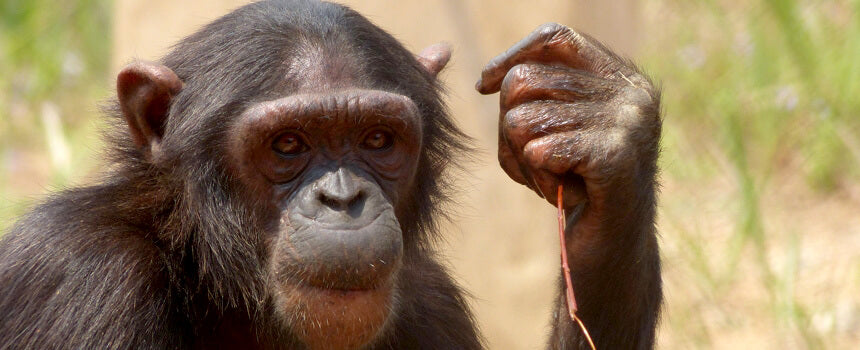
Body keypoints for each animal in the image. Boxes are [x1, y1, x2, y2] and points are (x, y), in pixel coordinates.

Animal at [0, 0, 660, 350]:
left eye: (377, 140)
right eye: (288, 145)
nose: (343, 198)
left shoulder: (430, 300)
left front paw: (599, 123)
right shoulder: (83, 277)